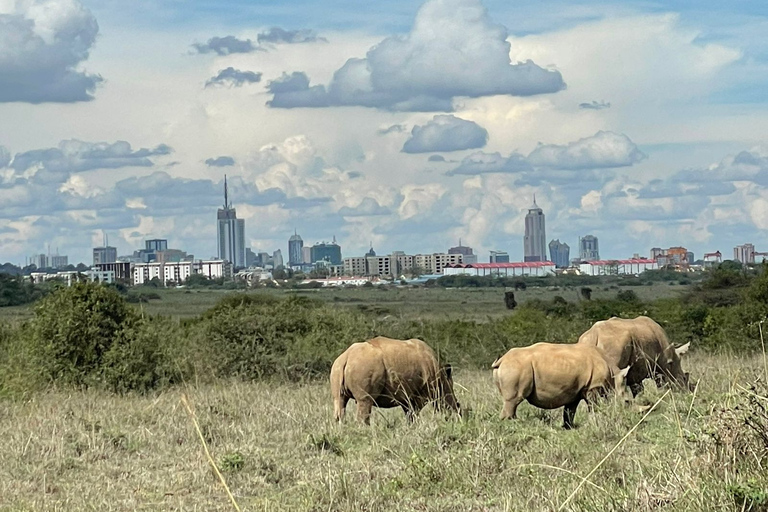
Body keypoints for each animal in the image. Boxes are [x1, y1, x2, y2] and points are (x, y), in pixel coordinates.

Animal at [328, 336, 460, 424]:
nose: (458, 412)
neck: (442, 378)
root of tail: (347, 356)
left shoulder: (406, 394)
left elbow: (409, 412)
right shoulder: (423, 392)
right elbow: (415, 411)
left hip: (337, 368)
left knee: (339, 400)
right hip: (363, 366)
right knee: (365, 401)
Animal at [492, 342, 632, 430]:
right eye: (627, 402)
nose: (630, 416)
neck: (614, 374)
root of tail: (502, 359)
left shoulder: (575, 391)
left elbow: (570, 411)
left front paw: (568, 427)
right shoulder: (593, 387)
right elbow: (593, 407)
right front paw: (595, 422)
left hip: (512, 367)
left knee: (510, 401)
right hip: (517, 367)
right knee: (514, 400)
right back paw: (513, 425)